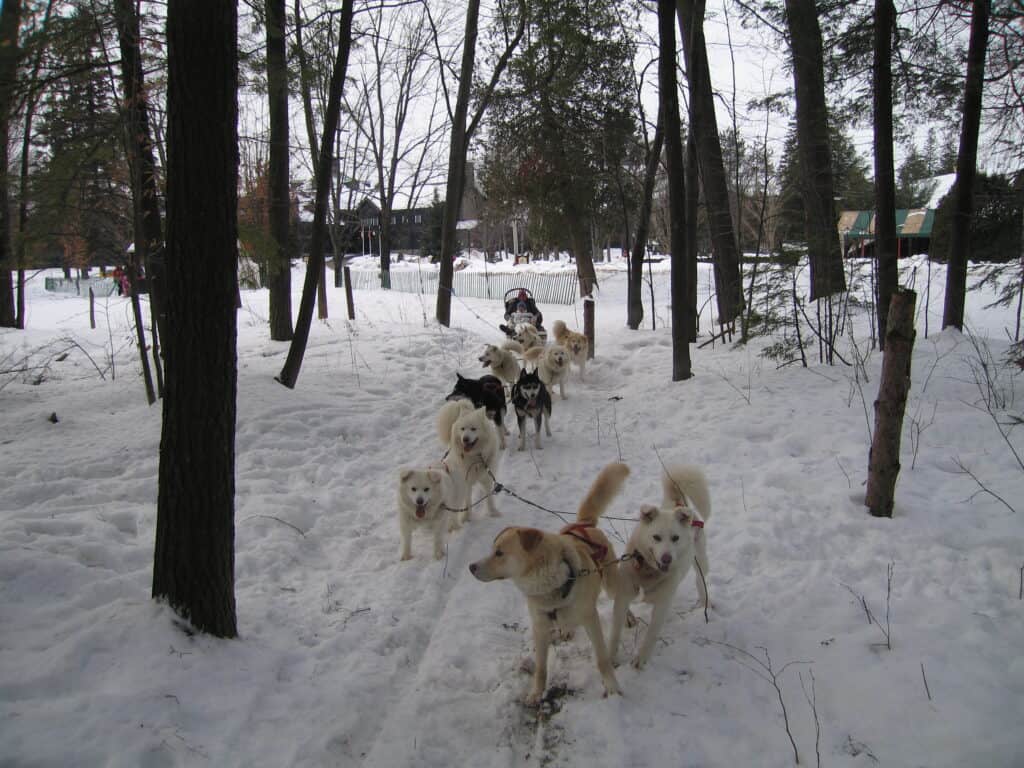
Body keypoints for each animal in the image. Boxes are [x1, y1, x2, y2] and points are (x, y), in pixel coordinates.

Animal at [468, 460, 626, 708]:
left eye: (499, 553)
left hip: (610, 583)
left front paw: (612, 688)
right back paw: (567, 630)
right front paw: (535, 693)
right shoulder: (540, 627)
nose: (471, 567)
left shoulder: (591, 619)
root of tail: (583, 524)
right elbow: (541, 668)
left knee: (620, 595)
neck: (548, 585)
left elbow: (602, 659)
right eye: (492, 549)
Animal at [606, 466, 712, 671]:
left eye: (675, 538)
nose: (666, 558)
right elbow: (614, 632)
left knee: (700, 580)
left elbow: (651, 635)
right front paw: (611, 659)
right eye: (656, 537)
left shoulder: (662, 605)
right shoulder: (623, 597)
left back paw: (704, 603)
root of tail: (677, 503)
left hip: (700, 560)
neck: (648, 572)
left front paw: (641, 659)